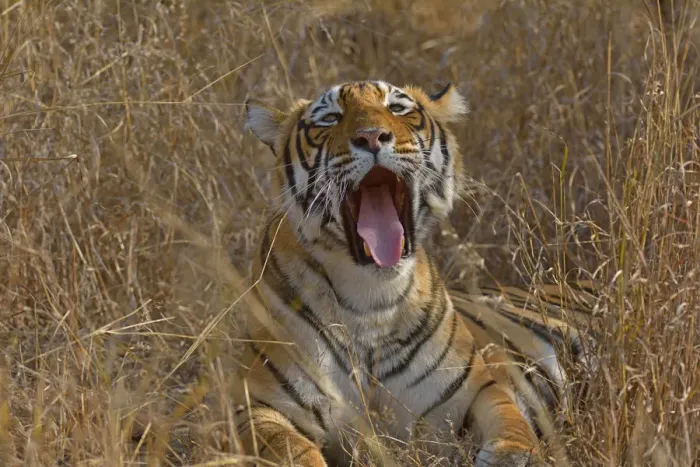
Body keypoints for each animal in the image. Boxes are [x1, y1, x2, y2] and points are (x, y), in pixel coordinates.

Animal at [236, 80, 595, 467]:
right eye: (330, 118)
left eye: (396, 108)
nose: (372, 136)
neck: (370, 300)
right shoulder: (261, 407)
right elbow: (291, 450)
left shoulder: (477, 390)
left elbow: (512, 431)